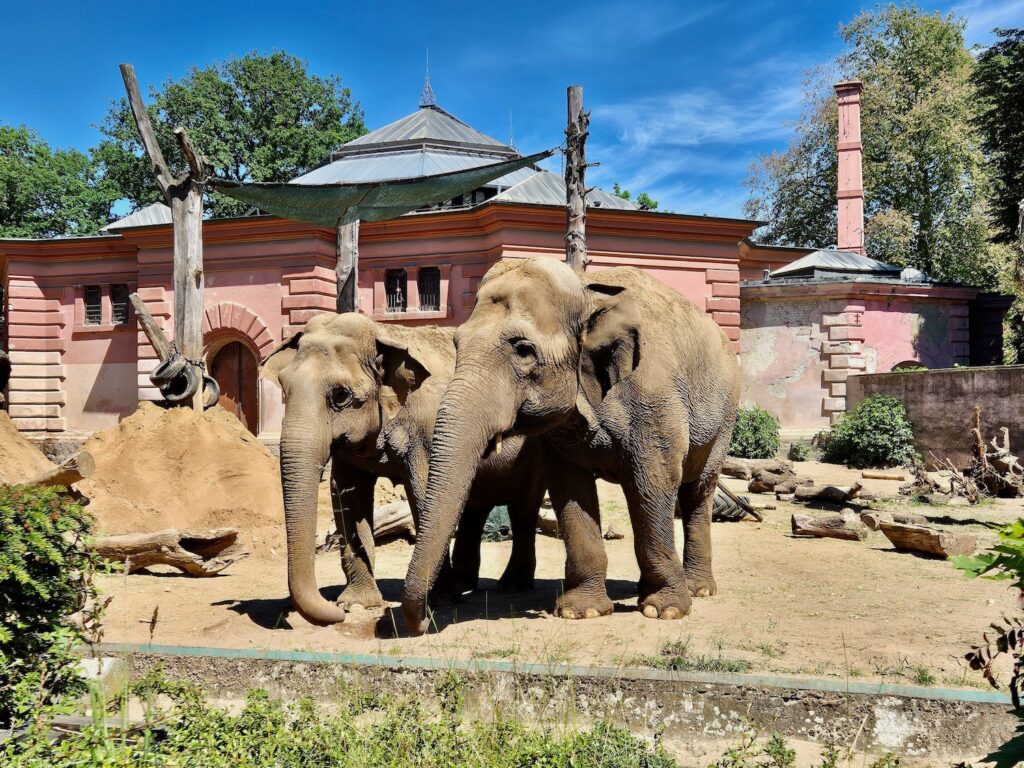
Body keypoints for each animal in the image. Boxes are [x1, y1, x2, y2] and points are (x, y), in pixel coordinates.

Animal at [264, 313, 548, 626]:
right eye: (283, 386)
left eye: (340, 396)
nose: (336, 614)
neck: (383, 334)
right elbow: (348, 497)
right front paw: (357, 604)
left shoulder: (428, 429)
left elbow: (422, 493)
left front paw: (440, 601)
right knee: (476, 505)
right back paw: (465, 584)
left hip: (536, 452)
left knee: (523, 508)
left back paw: (512, 585)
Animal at [401, 256, 745, 634]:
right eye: (457, 344)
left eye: (523, 349)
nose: (427, 619)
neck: (587, 292)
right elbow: (569, 487)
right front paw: (581, 612)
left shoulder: (654, 397)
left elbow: (653, 480)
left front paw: (664, 611)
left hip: (725, 415)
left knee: (698, 490)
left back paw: (698, 589)